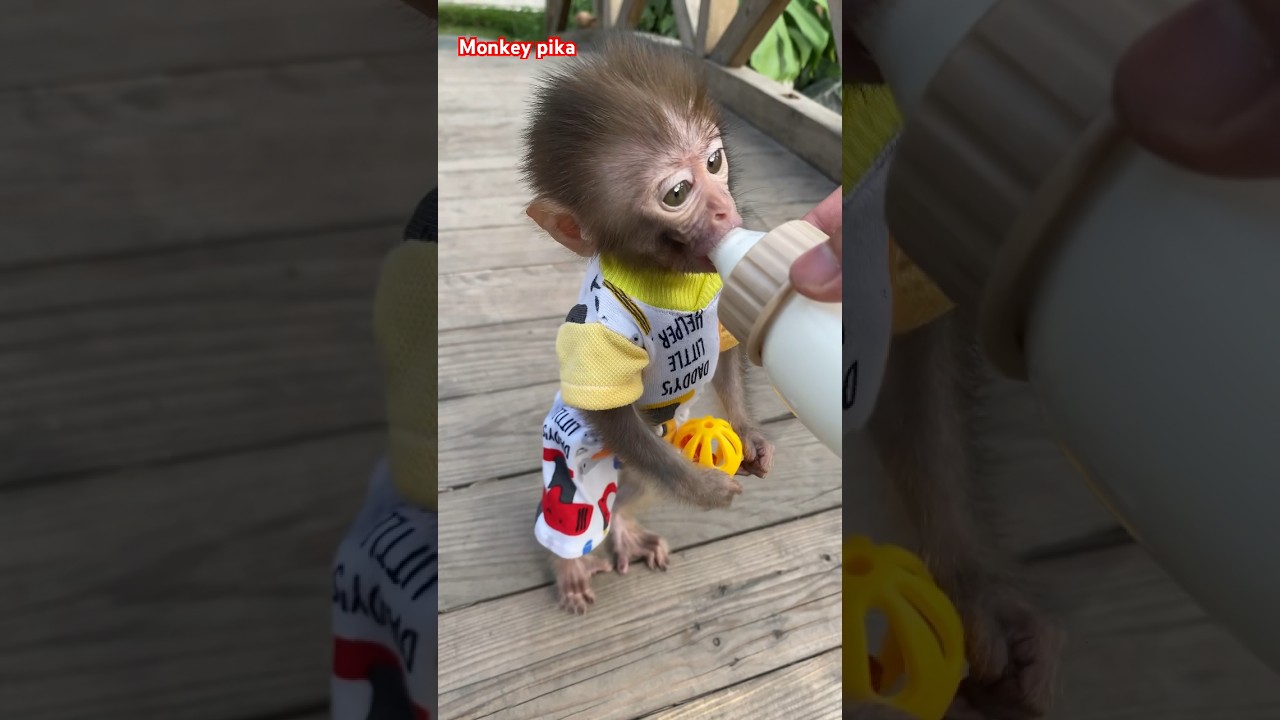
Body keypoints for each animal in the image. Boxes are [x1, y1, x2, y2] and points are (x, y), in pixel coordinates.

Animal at [518, 34, 775, 615]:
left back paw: (626, 528)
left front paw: (749, 433)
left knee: (638, 490)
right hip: (576, 454)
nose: (726, 210)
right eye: (677, 194)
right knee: (577, 510)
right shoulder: (601, 330)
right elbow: (612, 411)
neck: (666, 277)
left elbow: (728, 350)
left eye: (715, 161)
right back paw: (568, 564)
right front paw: (704, 490)